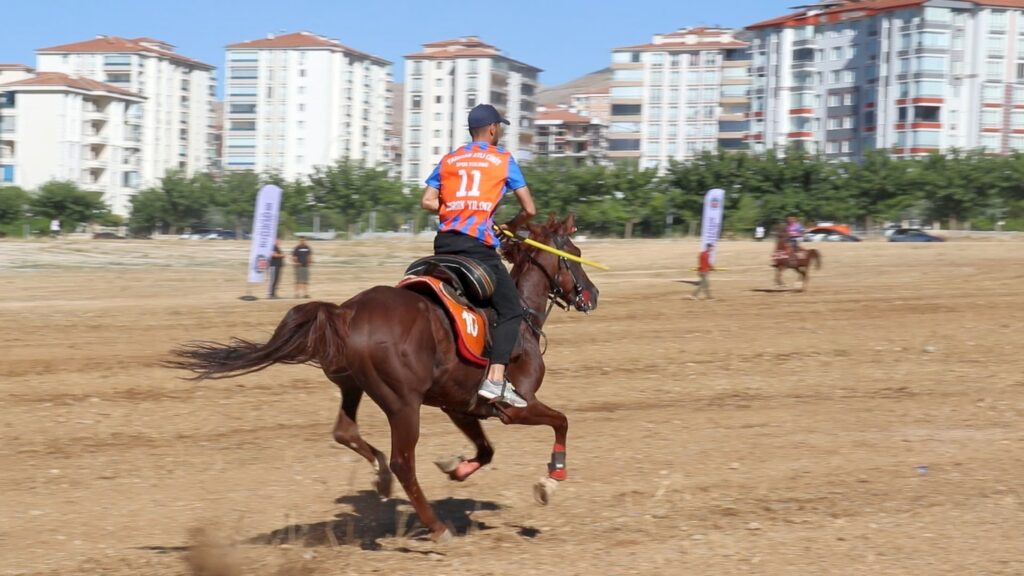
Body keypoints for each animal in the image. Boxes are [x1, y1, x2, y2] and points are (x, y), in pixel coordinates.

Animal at [167, 213, 598, 541]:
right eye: (575, 254)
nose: (592, 294)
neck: (521, 314)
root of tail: (345, 312)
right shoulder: (515, 407)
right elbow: (562, 421)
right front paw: (550, 480)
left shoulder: (461, 406)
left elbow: (486, 450)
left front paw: (456, 467)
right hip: (403, 404)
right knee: (403, 462)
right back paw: (436, 527)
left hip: (352, 385)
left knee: (345, 432)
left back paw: (381, 476)